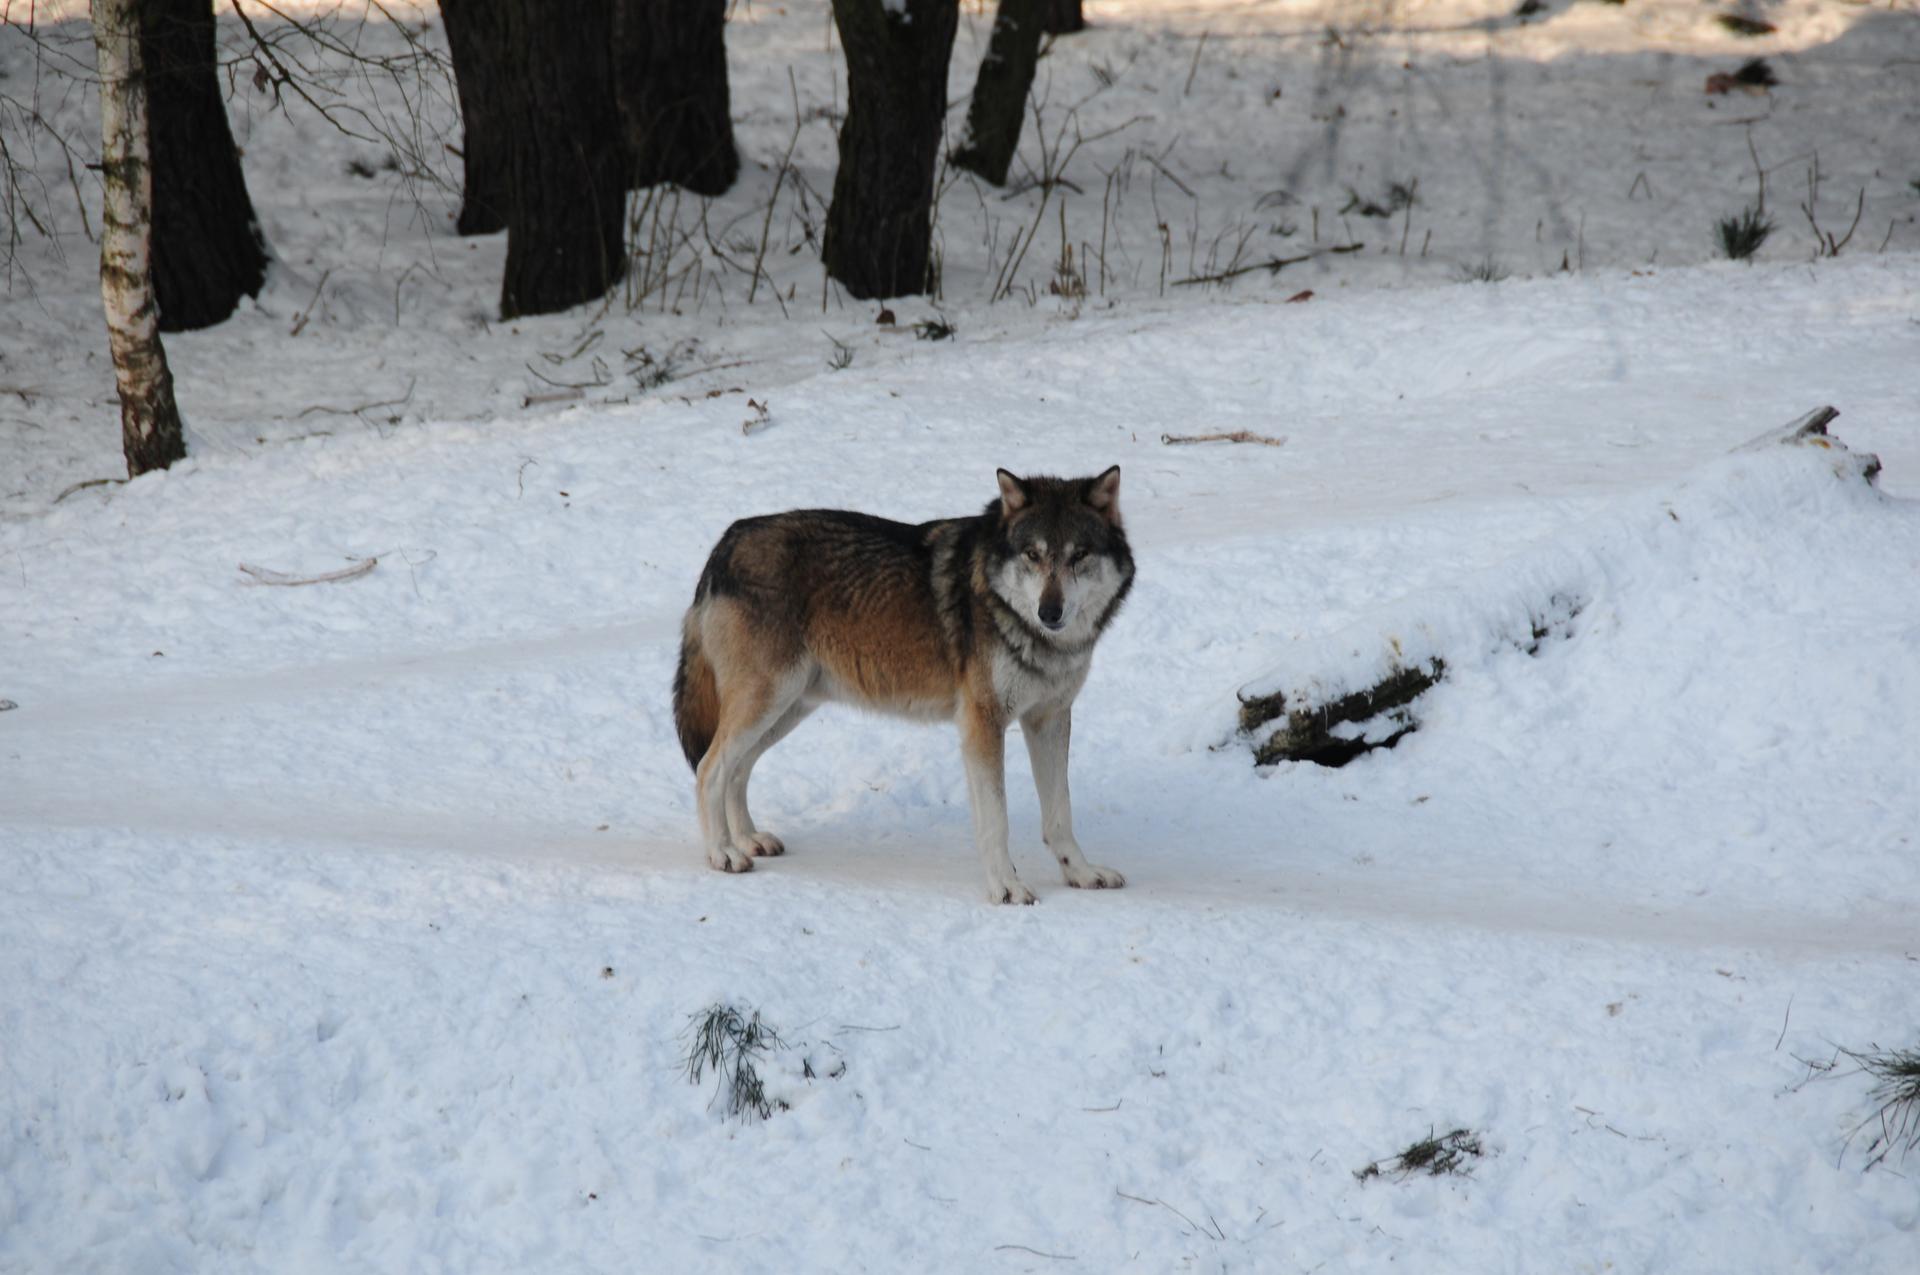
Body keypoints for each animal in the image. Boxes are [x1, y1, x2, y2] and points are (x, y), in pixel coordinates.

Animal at [672, 462, 1128, 902]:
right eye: (1033, 554)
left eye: (1079, 555)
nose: (1049, 612)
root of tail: (726, 542)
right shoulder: (983, 723)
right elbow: (996, 821)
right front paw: (1006, 887)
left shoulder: (1049, 719)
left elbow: (1060, 815)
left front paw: (1082, 874)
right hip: (768, 701)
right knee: (710, 768)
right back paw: (723, 852)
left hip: (786, 709)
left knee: (737, 770)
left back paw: (749, 839)